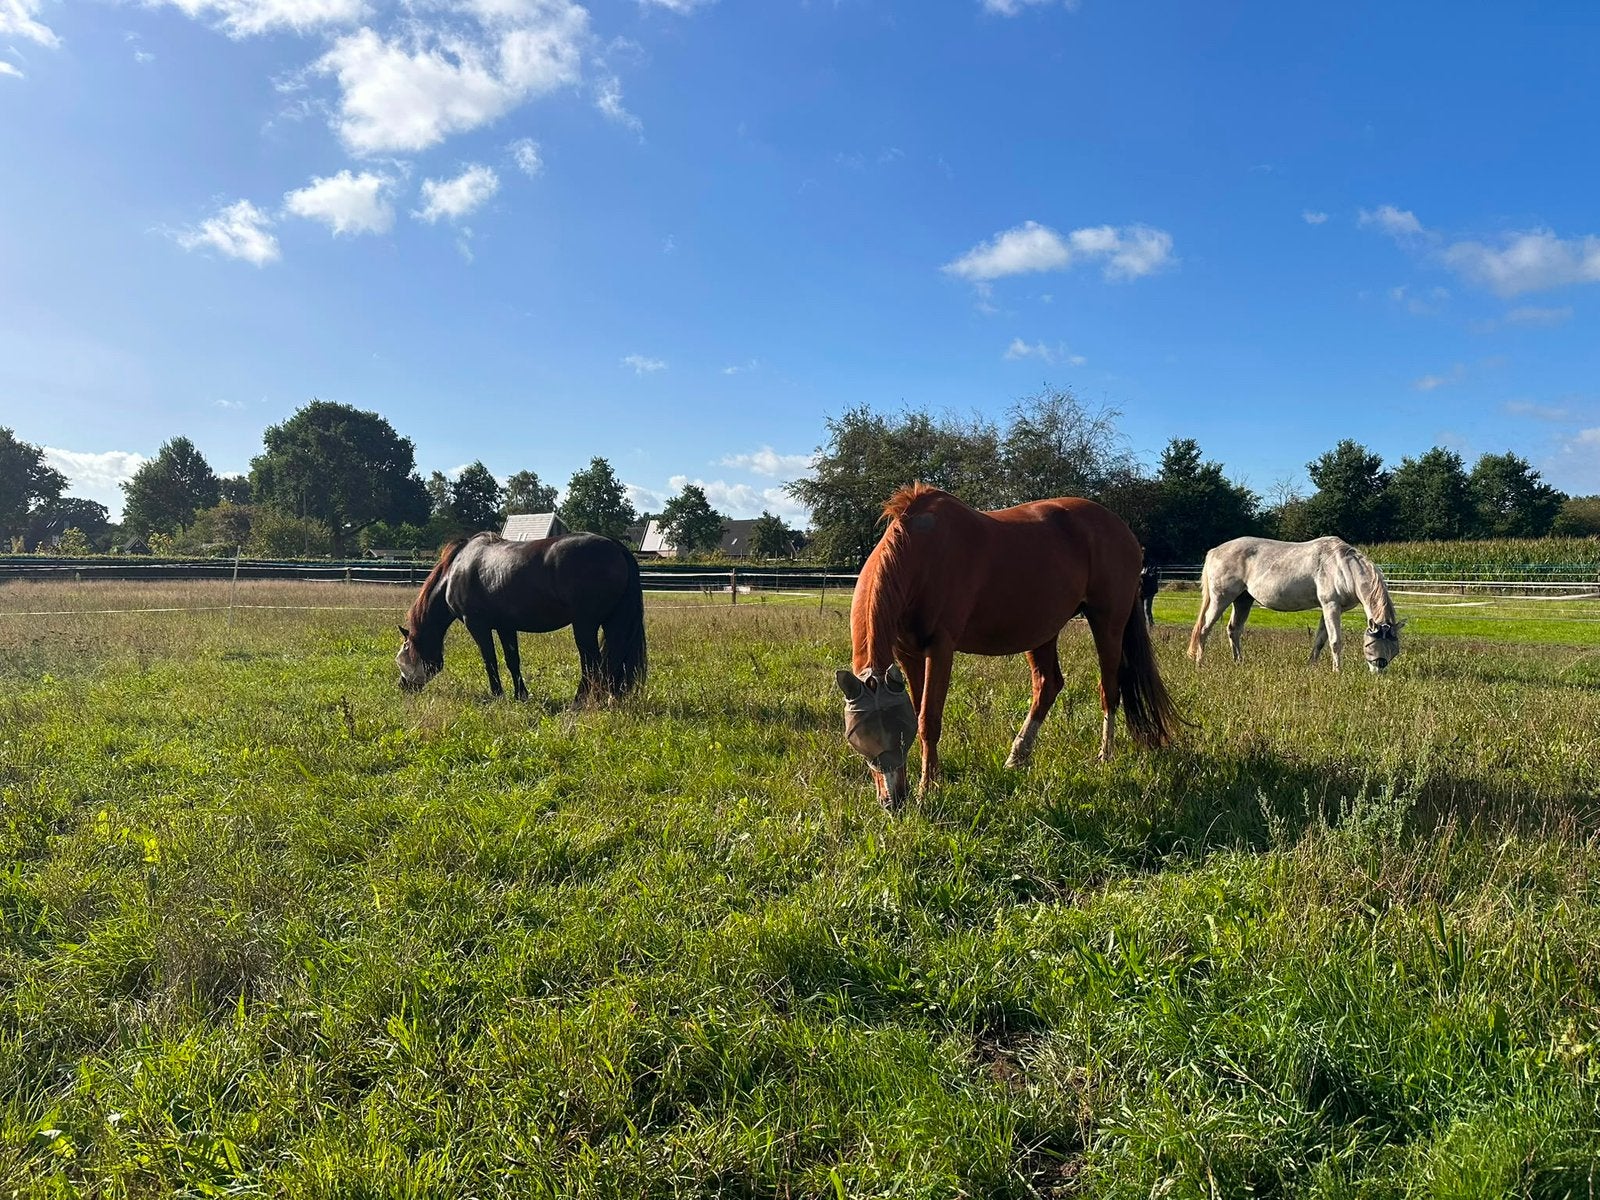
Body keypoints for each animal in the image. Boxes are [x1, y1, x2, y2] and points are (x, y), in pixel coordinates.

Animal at [396, 531, 647, 703]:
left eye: (404, 654)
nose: (402, 686)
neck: (455, 571)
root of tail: (616, 547)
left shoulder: (477, 625)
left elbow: (490, 660)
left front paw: (498, 695)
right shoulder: (505, 626)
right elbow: (512, 660)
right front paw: (521, 695)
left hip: (585, 626)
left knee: (593, 663)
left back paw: (580, 701)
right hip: (612, 624)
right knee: (612, 661)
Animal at [834, 484, 1181, 807]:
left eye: (897, 734)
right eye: (857, 737)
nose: (892, 801)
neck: (922, 554)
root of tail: (1125, 533)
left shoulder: (941, 649)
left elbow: (929, 719)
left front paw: (927, 788)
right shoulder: (908, 653)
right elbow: (919, 710)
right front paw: (932, 778)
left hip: (1107, 623)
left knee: (1109, 689)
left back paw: (1103, 757)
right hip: (1042, 632)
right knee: (1048, 685)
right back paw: (1017, 757)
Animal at [1187, 535, 1403, 673]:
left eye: (1395, 650)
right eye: (1372, 644)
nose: (1379, 671)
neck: (1343, 566)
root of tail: (1215, 551)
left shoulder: (1330, 609)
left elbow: (1320, 640)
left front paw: (1311, 666)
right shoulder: (1330, 606)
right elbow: (1335, 641)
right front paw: (1337, 672)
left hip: (1243, 600)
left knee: (1233, 630)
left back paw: (1238, 662)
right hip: (1221, 599)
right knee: (1204, 629)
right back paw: (1199, 663)